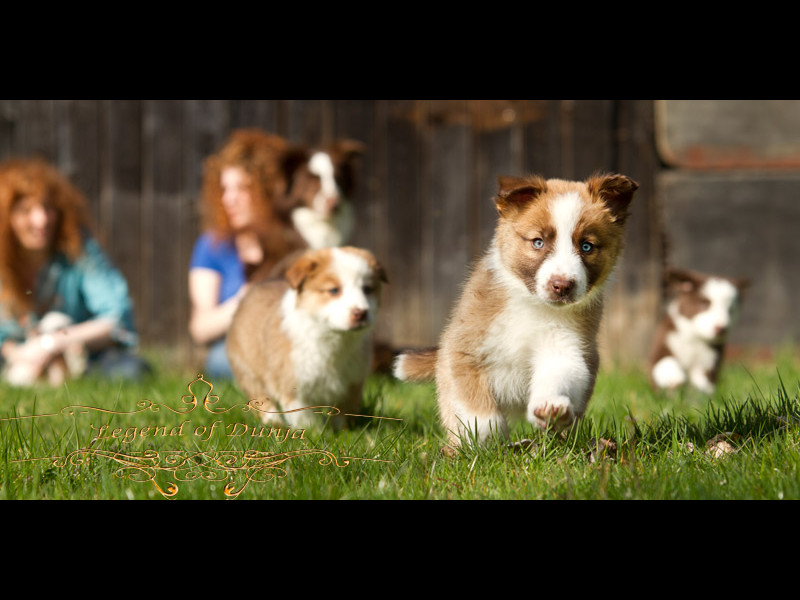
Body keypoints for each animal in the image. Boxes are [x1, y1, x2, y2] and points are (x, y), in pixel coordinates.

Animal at [225, 246, 388, 428]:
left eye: (367, 289)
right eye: (334, 290)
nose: (361, 313)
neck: (332, 337)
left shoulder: (352, 381)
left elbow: (343, 412)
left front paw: (343, 431)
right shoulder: (293, 384)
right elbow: (304, 416)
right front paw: (313, 432)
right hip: (247, 369)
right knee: (260, 396)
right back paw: (273, 422)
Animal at [394, 171, 636, 452]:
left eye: (586, 246)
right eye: (538, 242)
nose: (562, 286)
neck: (530, 304)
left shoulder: (566, 344)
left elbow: (559, 372)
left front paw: (550, 407)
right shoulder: (464, 351)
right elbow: (475, 406)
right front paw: (485, 437)